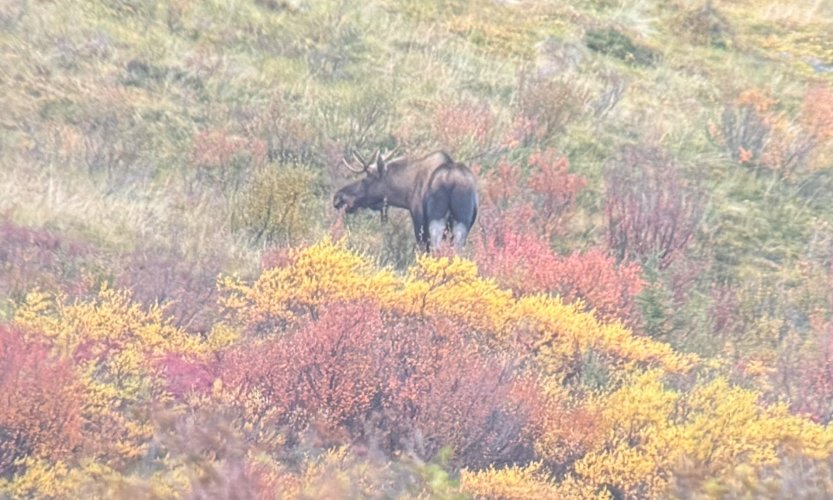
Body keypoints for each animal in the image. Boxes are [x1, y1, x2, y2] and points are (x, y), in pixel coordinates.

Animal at [333, 149, 478, 252]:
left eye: (366, 179)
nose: (338, 197)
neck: (406, 192)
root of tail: (452, 181)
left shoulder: (419, 220)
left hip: (437, 218)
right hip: (463, 221)